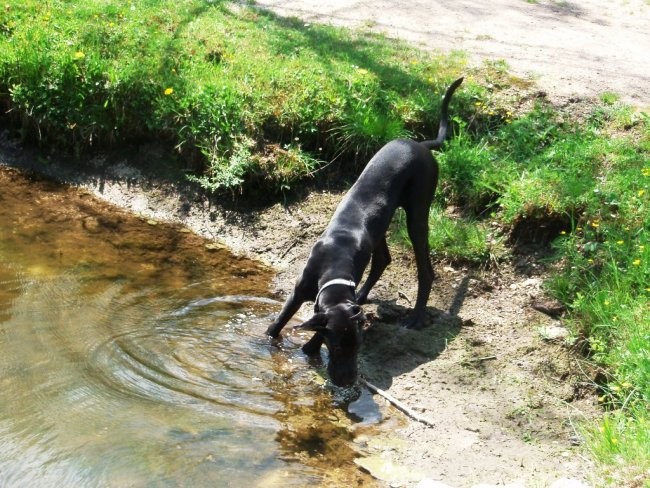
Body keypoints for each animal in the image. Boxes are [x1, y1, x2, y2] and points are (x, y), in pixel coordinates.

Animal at [266, 78, 464, 386]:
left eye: (358, 347)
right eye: (337, 348)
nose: (348, 381)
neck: (333, 265)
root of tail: (421, 145)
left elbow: (312, 334)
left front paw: (309, 348)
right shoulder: (298, 291)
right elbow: (279, 322)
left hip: (417, 212)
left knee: (426, 270)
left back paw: (416, 317)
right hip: (383, 224)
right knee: (383, 259)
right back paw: (364, 297)